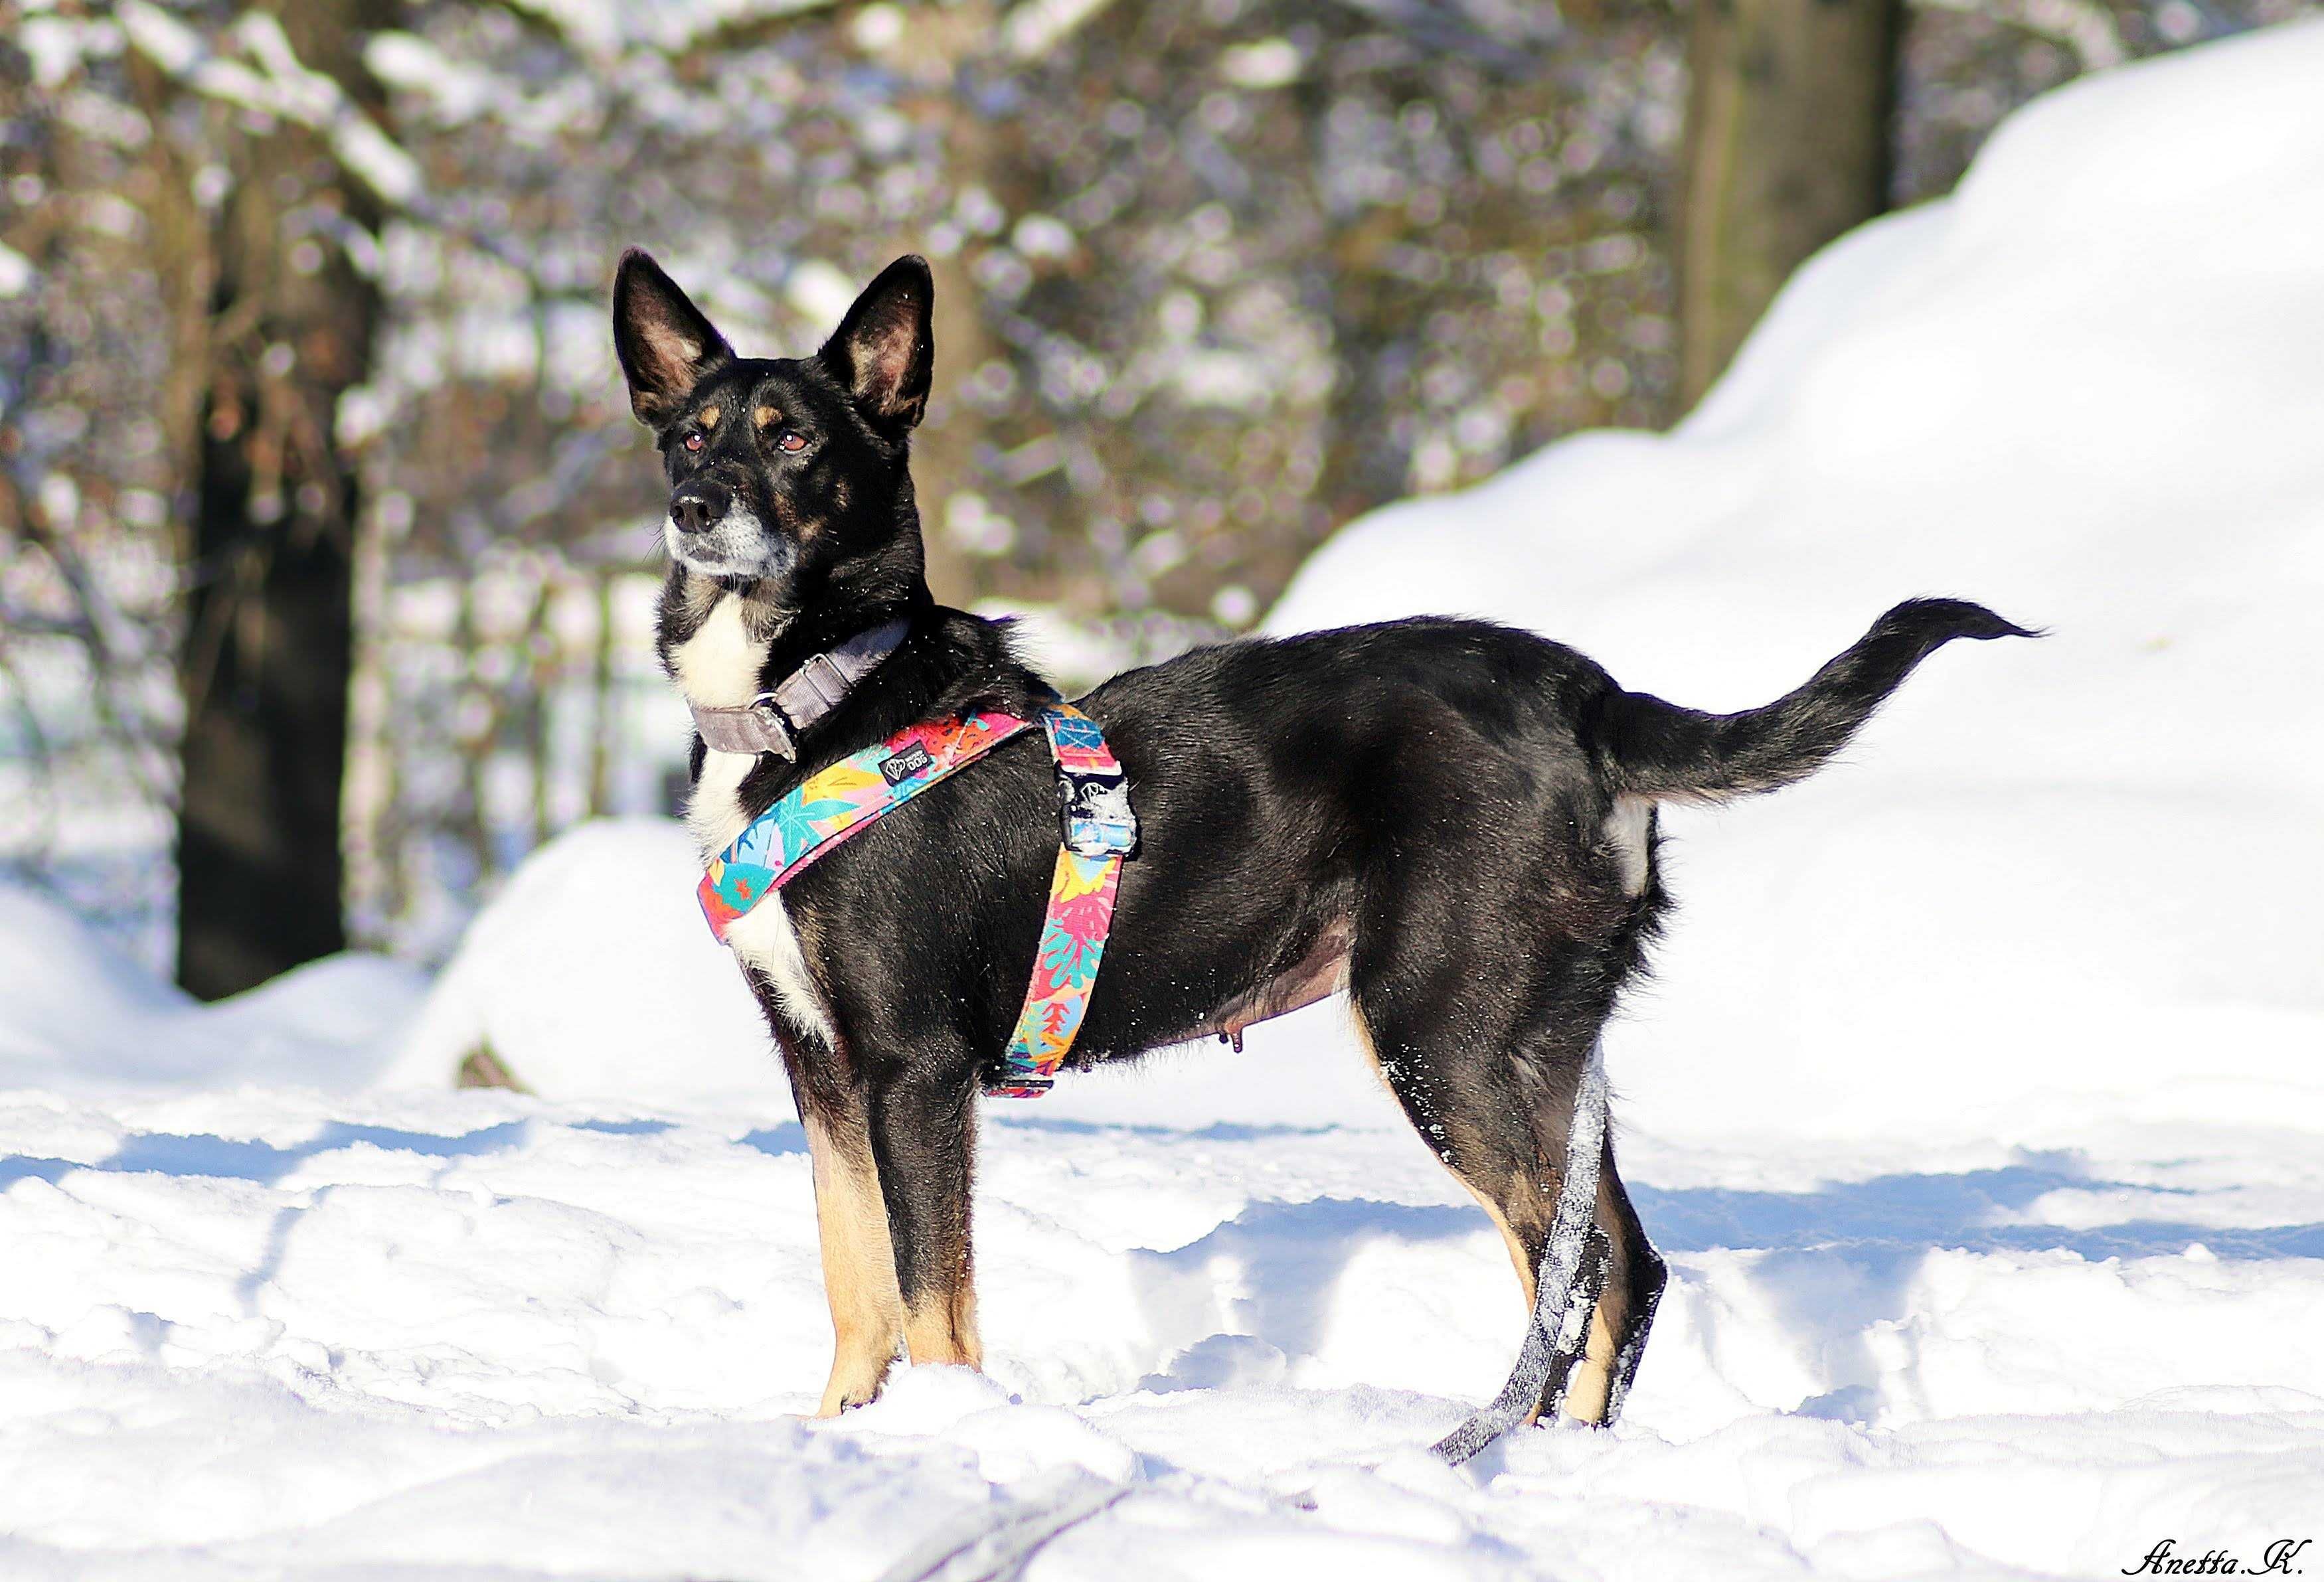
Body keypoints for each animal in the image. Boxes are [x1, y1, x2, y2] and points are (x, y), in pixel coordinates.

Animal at [614, 244, 2036, 1421]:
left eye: (794, 438)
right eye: (689, 436)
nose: (696, 506)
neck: (817, 695)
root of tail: (1589, 698)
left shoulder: (914, 1066)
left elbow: (935, 1305)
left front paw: (952, 1440)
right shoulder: (818, 1062)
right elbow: (858, 1287)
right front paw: (847, 1441)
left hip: (1444, 1033)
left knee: (1589, 1271)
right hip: (1535, 1045)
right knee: (1610, 1268)